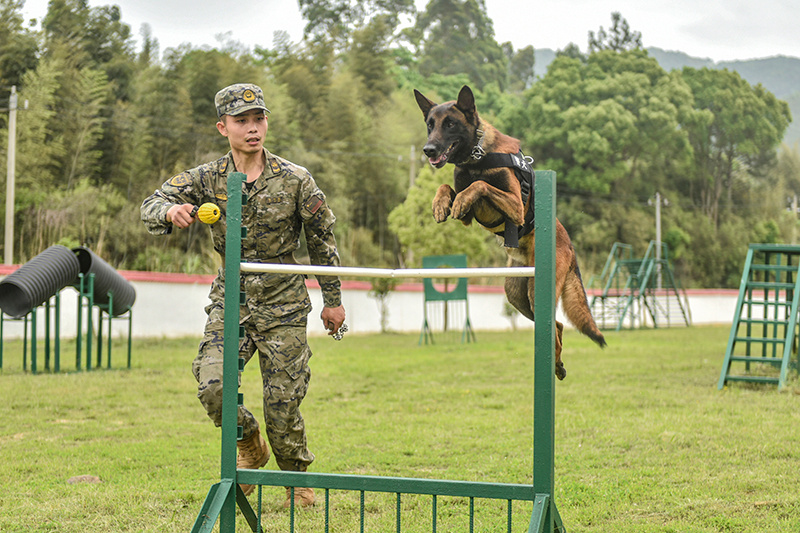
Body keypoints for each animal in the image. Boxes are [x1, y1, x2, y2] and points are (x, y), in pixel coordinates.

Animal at [416, 84, 604, 378]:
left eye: (450, 124)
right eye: (430, 125)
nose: (428, 149)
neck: (476, 157)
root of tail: (571, 247)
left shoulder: (515, 206)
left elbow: (479, 185)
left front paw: (460, 197)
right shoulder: (468, 217)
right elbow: (449, 187)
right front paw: (440, 204)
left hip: (537, 291)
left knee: (555, 328)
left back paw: (557, 364)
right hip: (517, 295)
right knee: (557, 325)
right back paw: (557, 365)